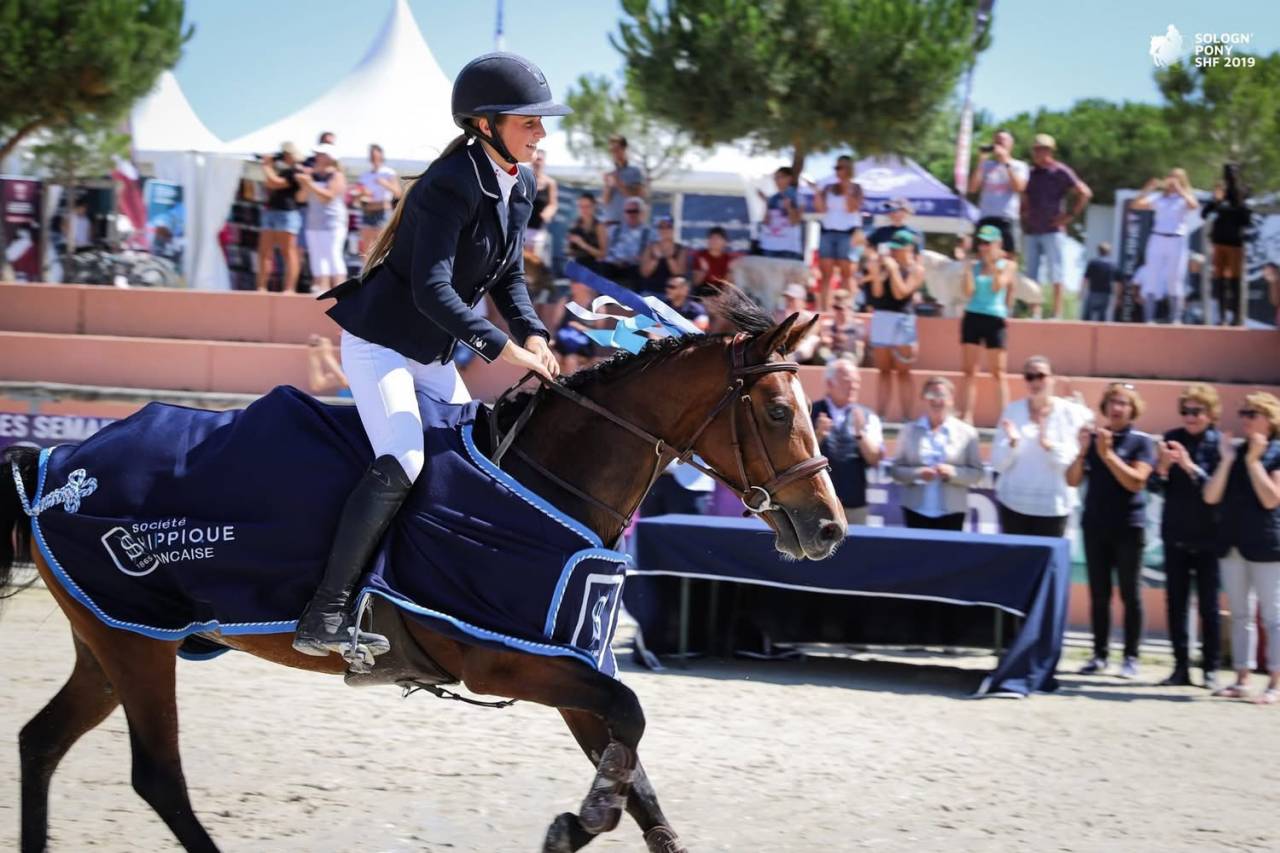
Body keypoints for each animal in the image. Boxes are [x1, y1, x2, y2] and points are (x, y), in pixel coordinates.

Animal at [1, 282, 846, 853]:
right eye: (778, 411)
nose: (830, 528)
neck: (545, 482)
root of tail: (56, 464)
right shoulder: (505, 662)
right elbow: (631, 723)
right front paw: (579, 820)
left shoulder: (568, 665)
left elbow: (635, 766)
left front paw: (586, 818)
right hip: (137, 641)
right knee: (157, 774)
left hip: (111, 638)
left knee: (42, 740)